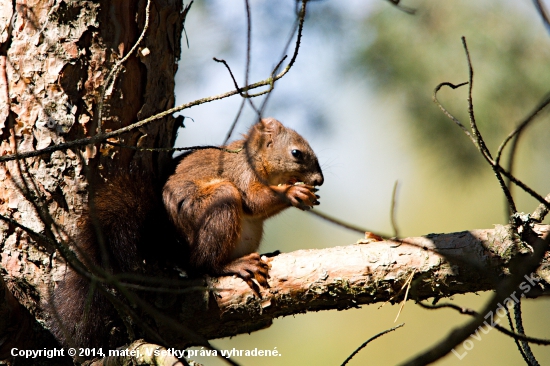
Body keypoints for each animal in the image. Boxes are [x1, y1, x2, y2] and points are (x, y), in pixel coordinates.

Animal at [50, 116, 326, 352]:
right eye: (296, 153)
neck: (257, 160)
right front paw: (292, 192)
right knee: (202, 264)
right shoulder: (241, 174)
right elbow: (253, 201)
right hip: (218, 203)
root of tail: (175, 247)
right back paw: (234, 265)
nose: (319, 180)